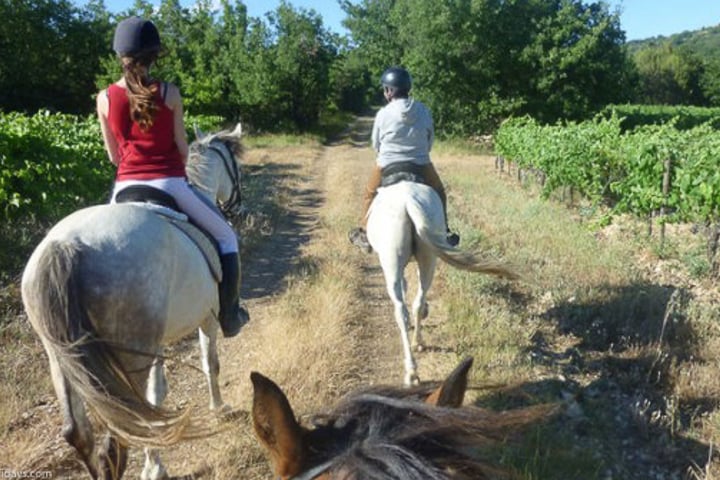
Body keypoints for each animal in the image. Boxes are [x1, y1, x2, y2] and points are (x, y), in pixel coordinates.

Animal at [20, 123, 245, 480]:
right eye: (237, 168)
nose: (239, 207)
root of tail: (65, 245)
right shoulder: (207, 318)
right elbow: (210, 362)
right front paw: (219, 408)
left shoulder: (157, 342)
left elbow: (159, 393)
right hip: (130, 348)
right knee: (128, 426)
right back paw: (149, 466)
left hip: (61, 354)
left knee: (79, 431)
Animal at [366, 180, 516, 386]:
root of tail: (408, 202)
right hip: (428, 257)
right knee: (418, 301)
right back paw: (417, 348)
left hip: (393, 261)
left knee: (401, 311)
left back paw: (411, 369)